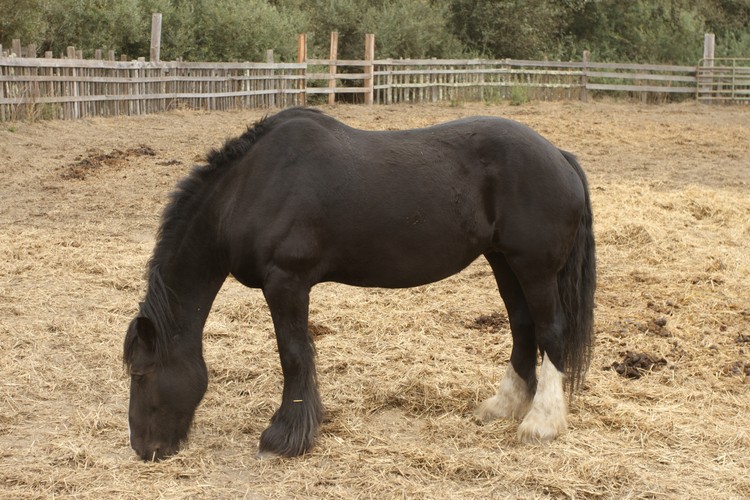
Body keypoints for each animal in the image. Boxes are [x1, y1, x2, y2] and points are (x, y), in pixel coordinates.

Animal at [123, 107, 596, 461]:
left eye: (142, 373)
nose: (145, 449)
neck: (250, 187)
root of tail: (559, 155)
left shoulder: (287, 282)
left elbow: (293, 354)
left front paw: (285, 438)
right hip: (504, 262)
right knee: (523, 328)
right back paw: (503, 406)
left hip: (534, 268)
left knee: (551, 332)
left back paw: (541, 423)